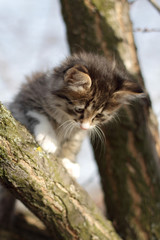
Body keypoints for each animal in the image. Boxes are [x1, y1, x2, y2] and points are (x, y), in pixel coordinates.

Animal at [0, 52, 144, 227]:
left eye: (99, 116)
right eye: (79, 110)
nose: (85, 126)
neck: (65, 118)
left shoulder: (77, 133)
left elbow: (71, 143)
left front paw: (68, 162)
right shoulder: (26, 97)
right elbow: (38, 114)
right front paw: (48, 139)